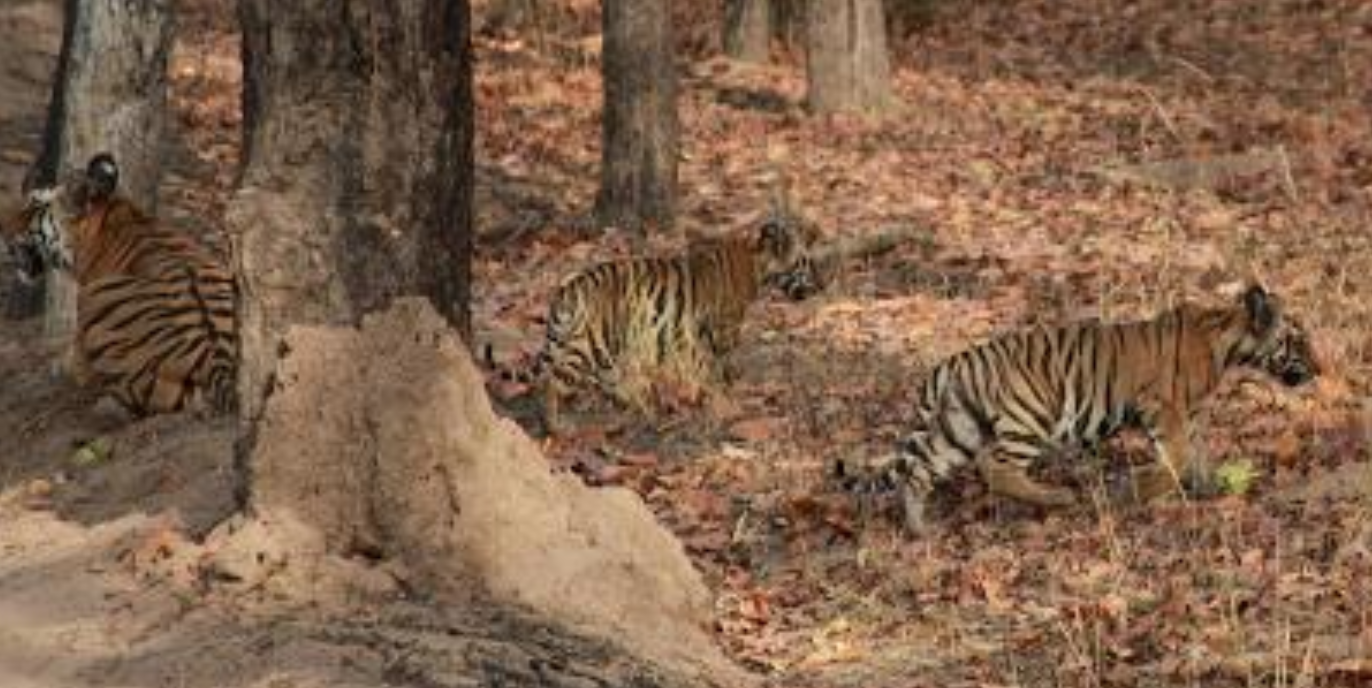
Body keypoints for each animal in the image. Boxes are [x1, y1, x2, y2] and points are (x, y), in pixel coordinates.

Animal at [2, 153, 238, 414]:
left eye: (34, 206)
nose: (1, 228)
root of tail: (217, 366)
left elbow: (69, 363)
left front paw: (58, 367)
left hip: (97, 316)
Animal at [529, 208, 817, 431]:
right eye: (805, 262)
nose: (821, 285)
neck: (754, 261)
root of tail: (569, 288)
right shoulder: (723, 328)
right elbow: (720, 362)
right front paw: (725, 392)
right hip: (589, 344)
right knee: (551, 381)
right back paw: (556, 426)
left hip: (592, 344)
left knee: (600, 379)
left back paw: (640, 407)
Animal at [834, 284, 1317, 535]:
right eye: (1298, 340)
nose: (1320, 368)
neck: (1226, 341)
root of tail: (951, 364)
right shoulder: (1163, 408)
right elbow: (1175, 458)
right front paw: (1135, 491)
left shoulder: (1190, 415)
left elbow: (1196, 455)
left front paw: (1210, 488)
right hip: (1031, 415)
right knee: (996, 467)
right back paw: (1057, 497)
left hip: (958, 427)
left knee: (918, 472)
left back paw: (920, 530)